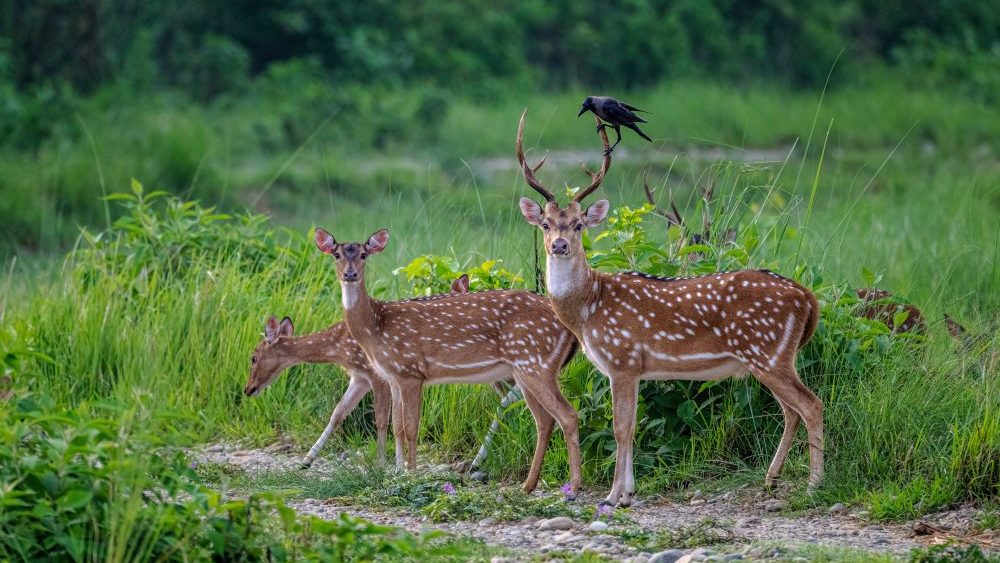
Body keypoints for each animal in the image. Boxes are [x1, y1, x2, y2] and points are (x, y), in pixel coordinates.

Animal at [244, 276, 472, 468]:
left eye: (253, 357)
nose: (248, 389)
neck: (338, 348)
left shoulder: (376, 374)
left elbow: (382, 420)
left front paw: (385, 465)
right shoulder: (359, 377)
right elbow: (338, 413)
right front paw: (307, 460)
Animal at [313, 227, 584, 496]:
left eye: (364, 254)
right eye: (336, 254)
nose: (350, 274)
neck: (376, 327)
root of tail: (570, 328)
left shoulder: (411, 371)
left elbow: (411, 428)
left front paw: (411, 473)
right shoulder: (393, 377)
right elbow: (396, 427)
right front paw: (397, 472)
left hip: (535, 363)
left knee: (567, 414)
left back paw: (573, 487)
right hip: (526, 369)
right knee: (545, 421)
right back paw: (528, 485)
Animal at [515, 109, 824, 506]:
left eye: (580, 224)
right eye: (545, 224)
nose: (559, 245)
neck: (587, 309)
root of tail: (807, 297)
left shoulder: (622, 358)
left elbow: (621, 427)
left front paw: (612, 496)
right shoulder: (634, 368)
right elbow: (631, 427)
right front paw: (628, 493)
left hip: (767, 352)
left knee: (811, 405)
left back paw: (814, 484)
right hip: (774, 357)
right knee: (791, 410)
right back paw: (771, 479)